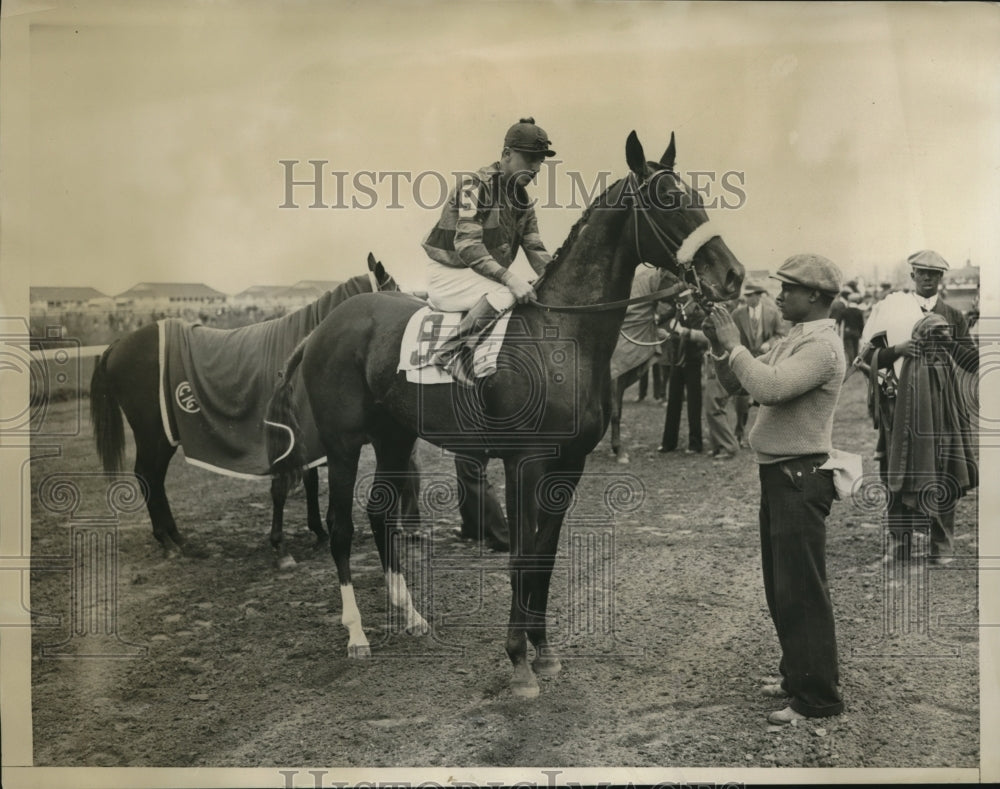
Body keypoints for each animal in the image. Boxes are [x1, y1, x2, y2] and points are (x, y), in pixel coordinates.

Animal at [87, 255, 398, 556]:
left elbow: (309, 481)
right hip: (153, 434)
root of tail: (117, 344)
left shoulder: (307, 435)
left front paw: (318, 532)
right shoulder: (289, 434)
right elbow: (283, 487)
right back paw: (168, 541)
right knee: (147, 475)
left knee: (154, 478)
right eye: (394, 289)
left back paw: (177, 538)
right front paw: (280, 543)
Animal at [266, 131, 744, 696]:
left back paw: (413, 618)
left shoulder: (568, 466)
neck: (562, 336)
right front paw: (518, 661)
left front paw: (544, 652)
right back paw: (357, 634)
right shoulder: (525, 463)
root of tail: (323, 326)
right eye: (668, 200)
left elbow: (544, 557)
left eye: (696, 194)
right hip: (343, 445)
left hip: (394, 438)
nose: (733, 275)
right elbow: (521, 555)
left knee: (379, 515)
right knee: (341, 527)